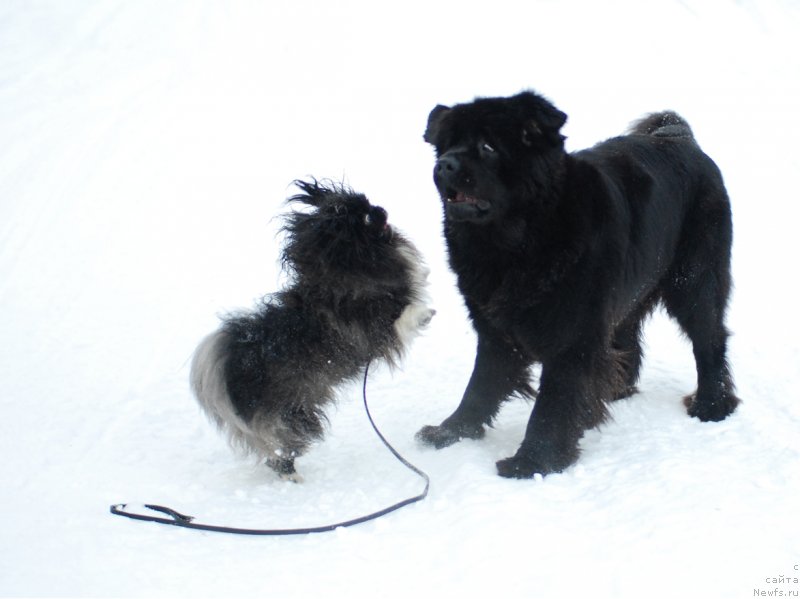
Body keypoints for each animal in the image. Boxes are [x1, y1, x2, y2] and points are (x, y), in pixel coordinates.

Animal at [191, 179, 434, 482]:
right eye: (366, 218)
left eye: (367, 204)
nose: (380, 209)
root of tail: (236, 371)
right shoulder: (379, 330)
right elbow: (405, 314)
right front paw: (425, 314)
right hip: (296, 417)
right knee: (280, 452)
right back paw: (293, 478)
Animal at [416, 91, 740, 480]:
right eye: (447, 145)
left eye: (487, 146)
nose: (445, 165)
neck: (517, 242)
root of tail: (680, 138)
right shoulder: (496, 327)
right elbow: (480, 385)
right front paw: (451, 431)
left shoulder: (571, 335)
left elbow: (552, 402)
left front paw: (532, 461)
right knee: (627, 338)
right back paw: (616, 389)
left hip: (693, 280)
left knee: (709, 338)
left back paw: (712, 404)